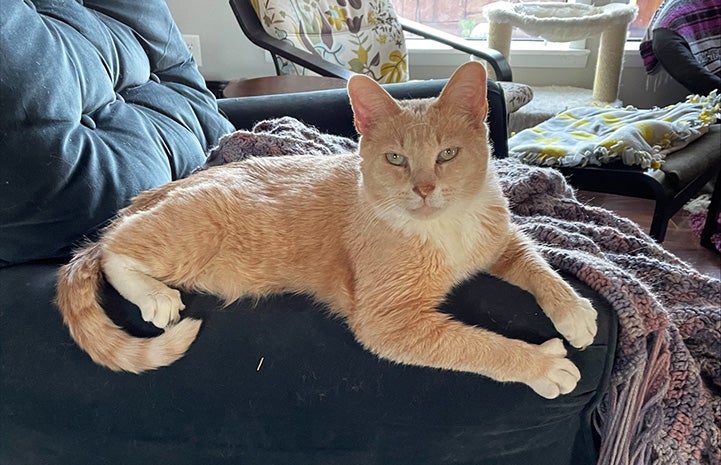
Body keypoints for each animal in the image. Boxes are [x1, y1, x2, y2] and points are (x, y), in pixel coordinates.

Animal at [54, 61, 596, 398]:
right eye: (395, 159)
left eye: (447, 154)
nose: (423, 188)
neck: (445, 227)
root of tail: (158, 192)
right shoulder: (389, 323)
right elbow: (476, 345)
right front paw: (541, 364)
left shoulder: (500, 241)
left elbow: (538, 264)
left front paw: (572, 312)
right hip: (190, 232)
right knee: (111, 251)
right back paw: (152, 293)